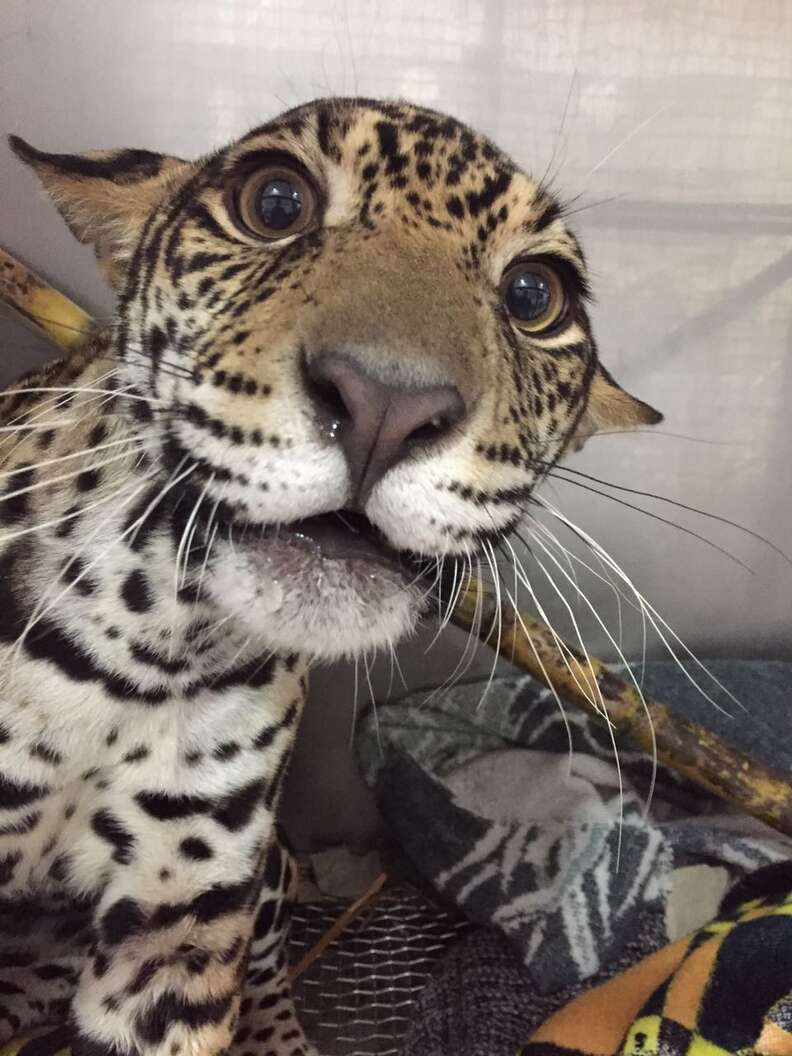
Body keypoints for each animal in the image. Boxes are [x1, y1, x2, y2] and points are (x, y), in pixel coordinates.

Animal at [0, 97, 661, 1056]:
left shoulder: (179, 923)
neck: (142, 644)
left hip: (266, 872)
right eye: (276, 203)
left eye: (534, 296)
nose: (387, 403)